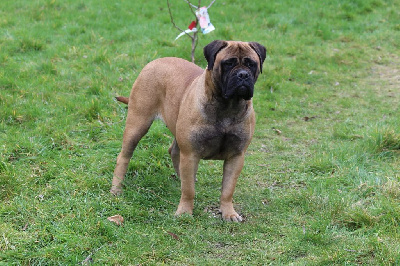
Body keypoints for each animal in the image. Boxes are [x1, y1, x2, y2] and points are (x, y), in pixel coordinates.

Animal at [110, 39, 266, 221]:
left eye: (251, 64)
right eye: (228, 63)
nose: (243, 75)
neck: (227, 106)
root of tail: (153, 62)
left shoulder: (236, 156)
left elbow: (228, 190)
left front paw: (229, 213)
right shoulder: (191, 154)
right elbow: (189, 190)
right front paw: (184, 212)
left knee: (174, 152)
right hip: (137, 124)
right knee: (124, 156)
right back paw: (116, 188)